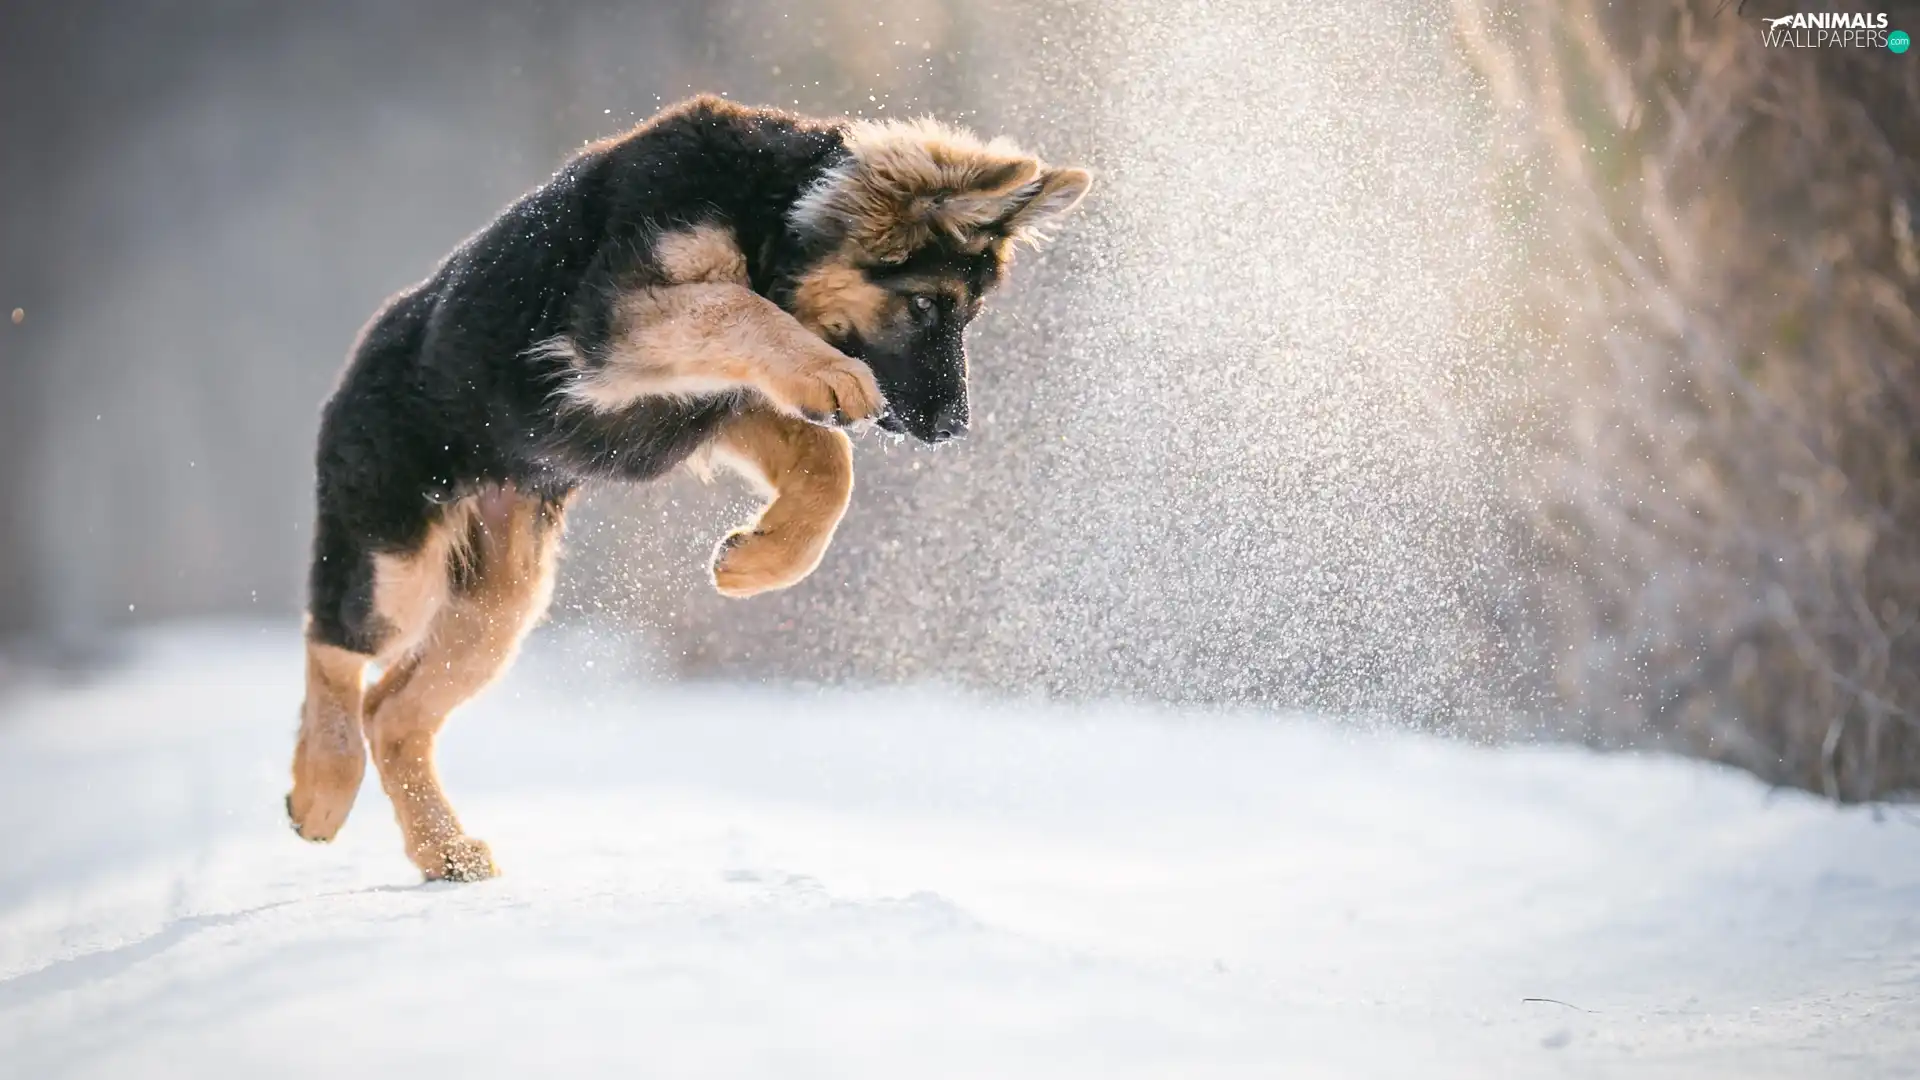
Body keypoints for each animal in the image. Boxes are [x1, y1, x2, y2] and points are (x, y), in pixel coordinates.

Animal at [286, 96, 1098, 880]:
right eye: (929, 305)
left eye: (970, 313)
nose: (954, 428)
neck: (774, 210)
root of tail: (358, 357)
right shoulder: (619, 319)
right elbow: (733, 306)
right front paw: (831, 375)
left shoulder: (716, 400)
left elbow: (828, 461)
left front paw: (759, 559)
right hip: (401, 560)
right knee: (336, 645)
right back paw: (322, 785)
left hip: (502, 603)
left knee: (393, 710)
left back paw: (443, 850)